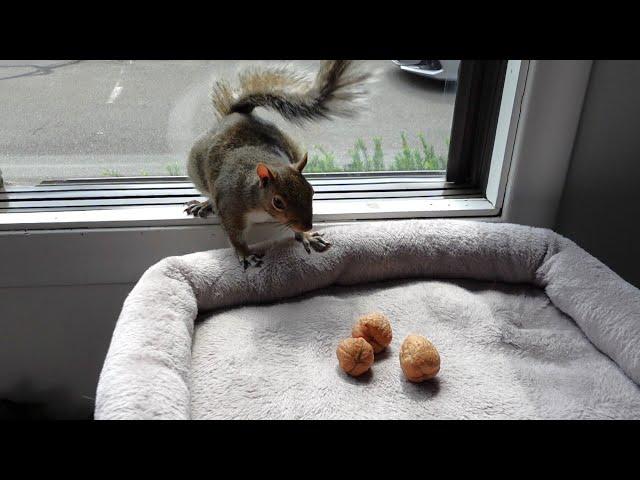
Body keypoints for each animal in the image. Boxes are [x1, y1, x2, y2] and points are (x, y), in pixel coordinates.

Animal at [185, 60, 372, 270]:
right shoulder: (230, 206)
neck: (260, 202)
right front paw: (245, 254)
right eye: (278, 202)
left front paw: (306, 236)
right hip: (197, 170)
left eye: (311, 191)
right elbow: (235, 236)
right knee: (208, 192)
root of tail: (235, 115)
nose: (308, 225)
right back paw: (205, 203)